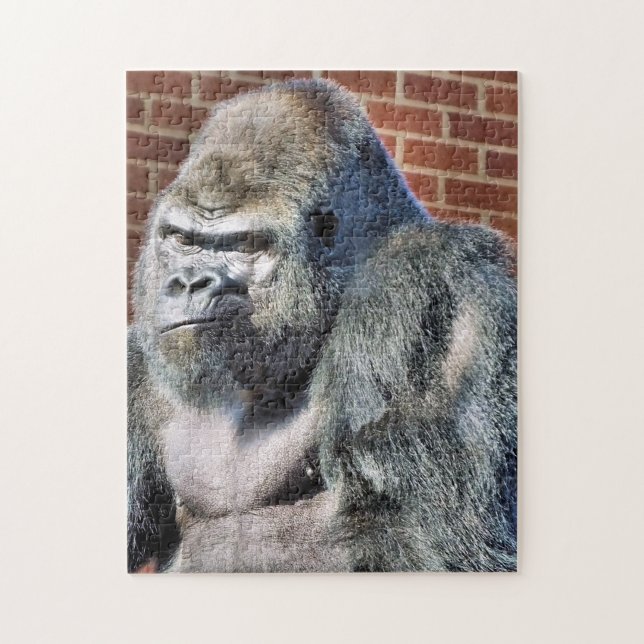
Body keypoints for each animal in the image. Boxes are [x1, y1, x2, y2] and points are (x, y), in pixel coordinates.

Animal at [127, 78, 517, 573]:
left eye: (246, 245)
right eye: (181, 239)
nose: (190, 282)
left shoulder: (427, 279)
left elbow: (457, 545)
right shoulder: (137, 368)